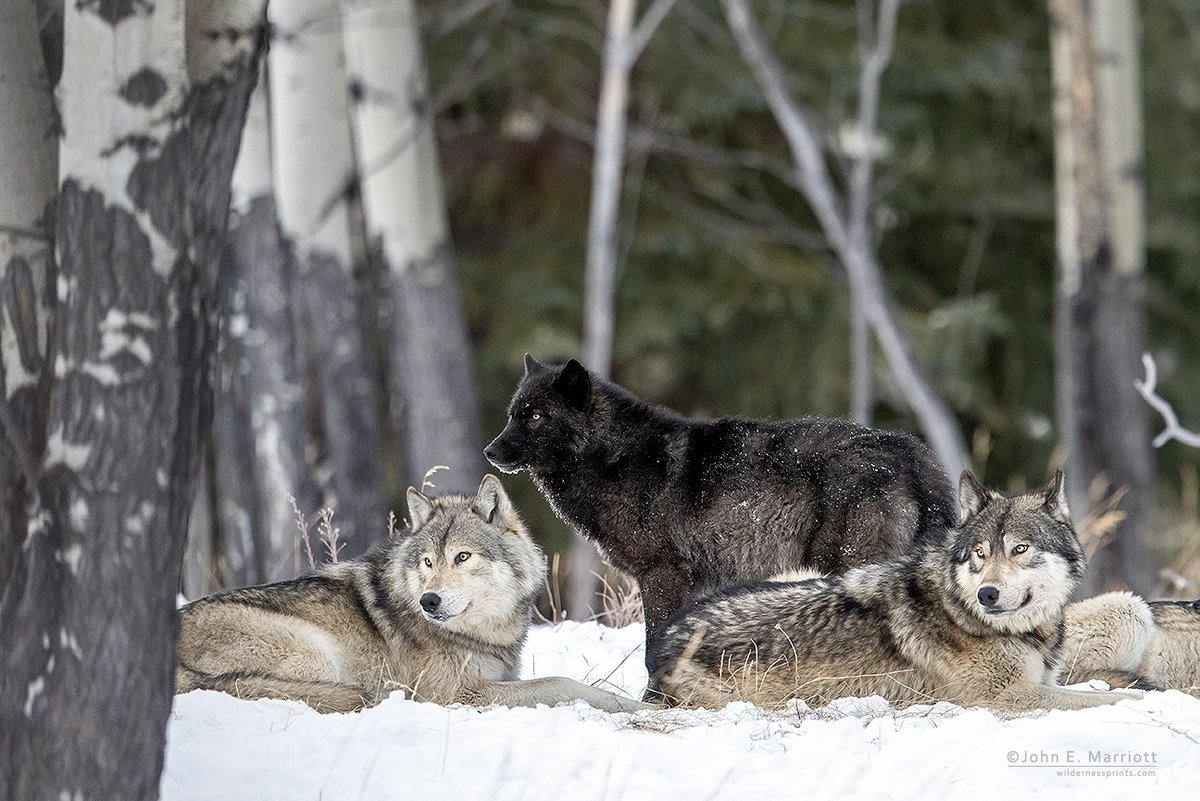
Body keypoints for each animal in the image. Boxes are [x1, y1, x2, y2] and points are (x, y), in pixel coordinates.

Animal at [175, 475, 641, 713]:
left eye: (462, 557)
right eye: (428, 562)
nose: (428, 601)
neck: (480, 632)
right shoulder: (460, 695)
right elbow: (563, 684)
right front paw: (638, 708)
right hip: (315, 652)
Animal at [484, 355, 955, 640]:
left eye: (536, 417)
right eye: (513, 415)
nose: (490, 451)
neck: (614, 458)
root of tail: (911, 452)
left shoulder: (662, 575)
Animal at [645, 471, 1141, 714]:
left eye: (1020, 549)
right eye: (979, 554)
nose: (987, 595)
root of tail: (661, 649)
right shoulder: (1006, 697)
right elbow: (1100, 698)